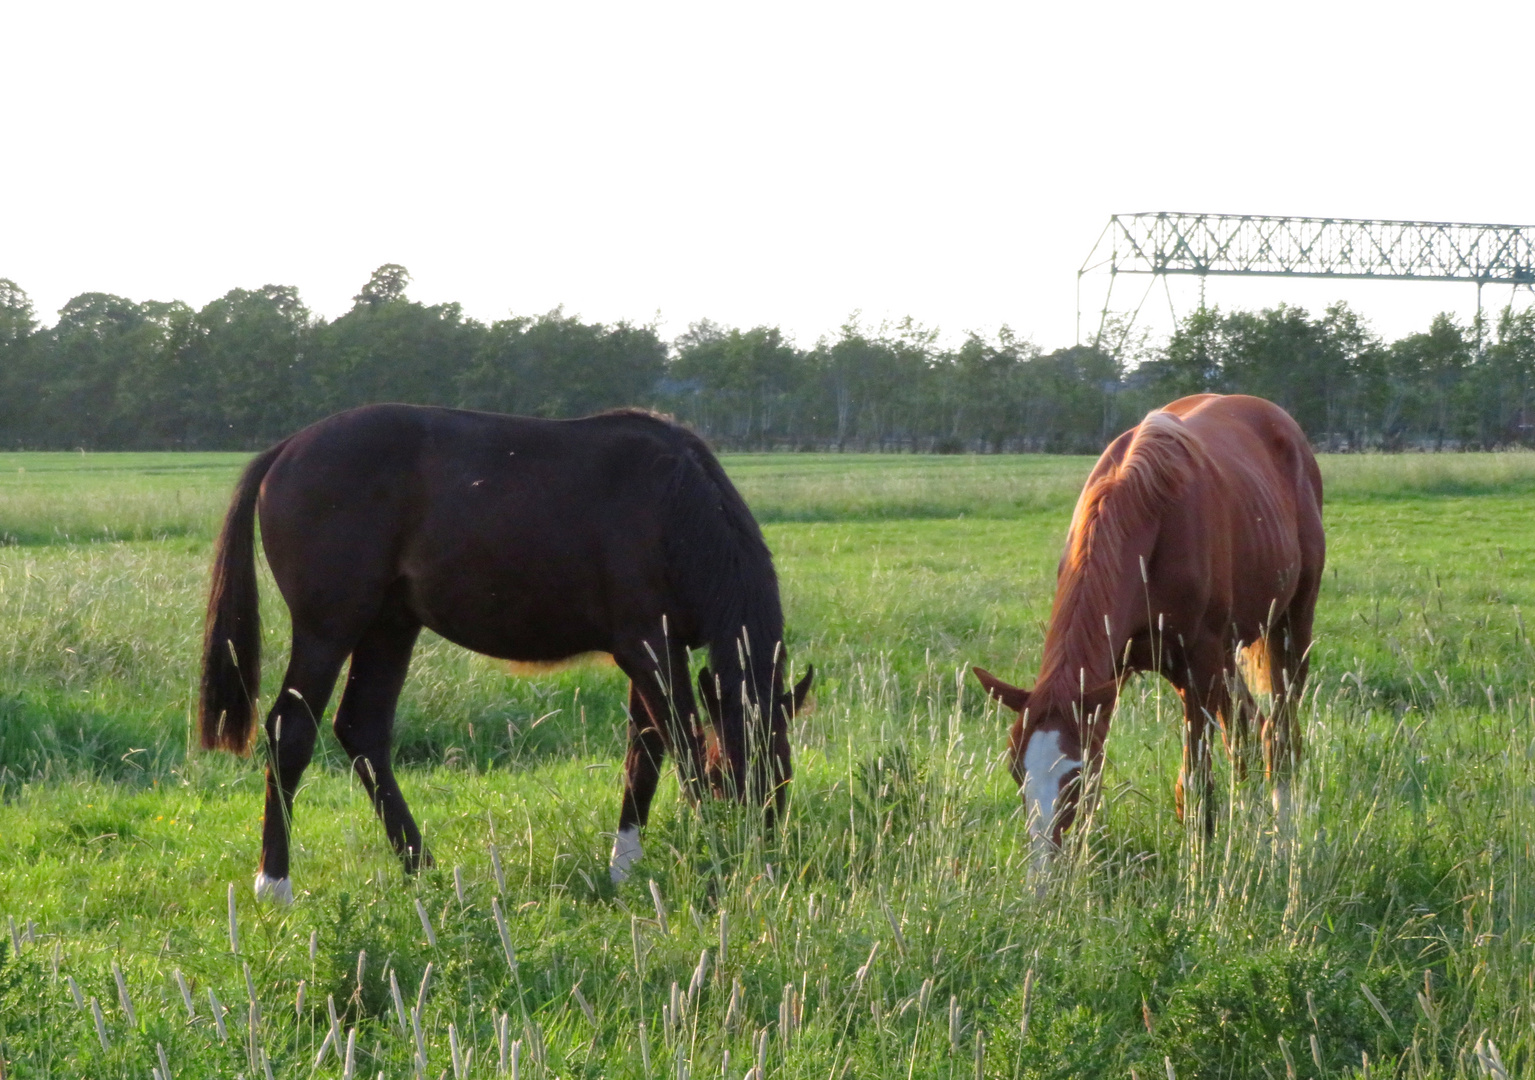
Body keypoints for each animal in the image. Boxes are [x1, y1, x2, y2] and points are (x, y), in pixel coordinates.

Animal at [201, 401, 816, 895]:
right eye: (737, 771)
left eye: (783, 773)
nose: (763, 855)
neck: (674, 504)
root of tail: (285, 450)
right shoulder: (648, 648)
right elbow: (683, 748)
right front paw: (714, 853)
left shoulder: (657, 651)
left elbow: (645, 752)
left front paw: (624, 867)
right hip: (328, 629)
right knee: (291, 732)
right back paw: (275, 883)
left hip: (390, 626)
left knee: (362, 731)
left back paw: (423, 870)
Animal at [976, 395, 1326, 852]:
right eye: (1016, 771)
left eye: (1075, 777)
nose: (1045, 861)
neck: (1145, 513)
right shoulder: (1113, 671)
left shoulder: (1197, 668)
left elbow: (1195, 786)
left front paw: (1200, 865)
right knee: (1247, 730)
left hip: (1289, 627)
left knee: (1280, 735)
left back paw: (1282, 837)